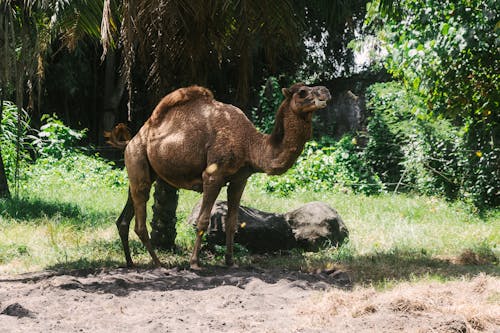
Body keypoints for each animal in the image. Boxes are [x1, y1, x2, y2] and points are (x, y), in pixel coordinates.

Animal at [107, 83, 330, 270]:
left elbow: (232, 222)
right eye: (302, 92)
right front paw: (195, 263)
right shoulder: (213, 176)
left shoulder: (240, 179)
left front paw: (230, 262)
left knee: (124, 218)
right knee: (139, 222)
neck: (249, 144)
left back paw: (130, 262)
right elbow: (203, 220)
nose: (326, 92)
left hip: (141, 172)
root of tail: (131, 141)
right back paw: (158, 263)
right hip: (137, 159)